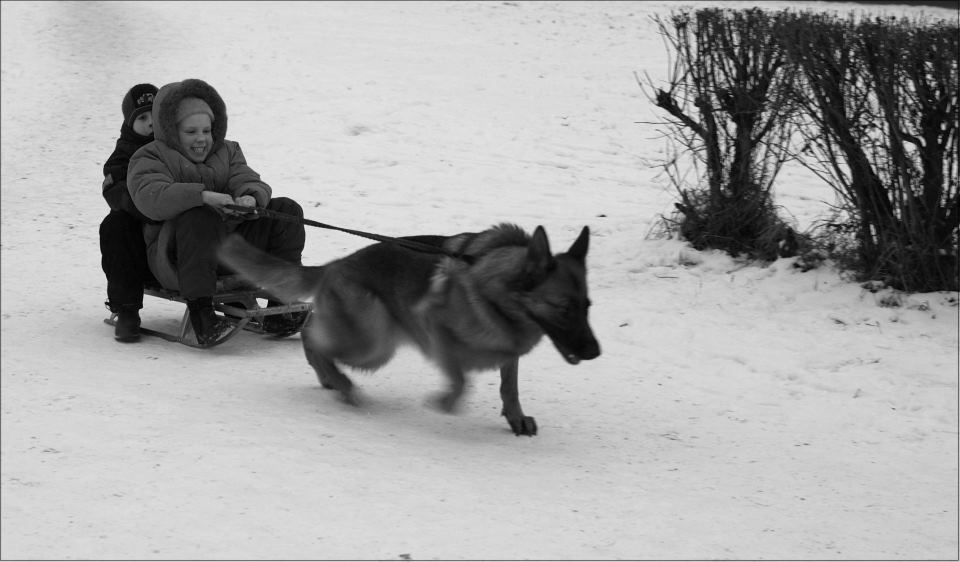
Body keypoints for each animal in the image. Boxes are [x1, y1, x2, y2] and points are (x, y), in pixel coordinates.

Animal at [221, 222, 604, 434]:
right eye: (564, 308)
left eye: (587, 307)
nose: (595, 353)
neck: (496, 289)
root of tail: (336, 264)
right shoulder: (435, 330)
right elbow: (461, 380)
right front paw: (445, 402)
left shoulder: (509, 351)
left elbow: (509, 387)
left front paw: (516, 418)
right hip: (375, 345)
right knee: (313, 337)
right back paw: (342, 383)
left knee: (315, 331)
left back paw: (331, 380)